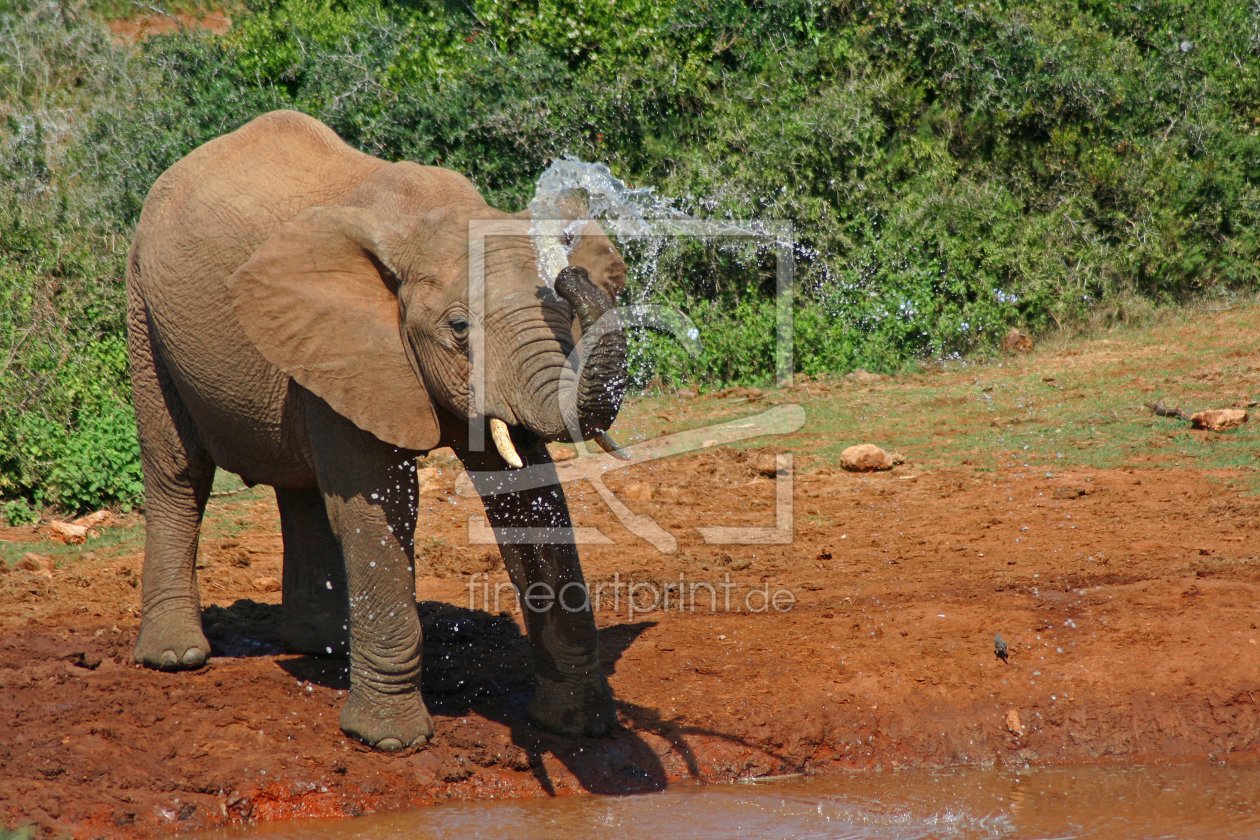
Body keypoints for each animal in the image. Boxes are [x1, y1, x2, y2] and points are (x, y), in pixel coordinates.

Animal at [127, 110, 630, 750]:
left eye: (562, 310)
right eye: (459, 328)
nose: (569, 272)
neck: (419, 221)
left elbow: (527, 497)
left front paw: (578, 727)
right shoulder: (346, 343)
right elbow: (379, 506)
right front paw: (389, 742)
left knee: (300, 485)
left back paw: (319, 646)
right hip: (143, 306)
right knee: (178, 471)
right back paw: (177, 657)